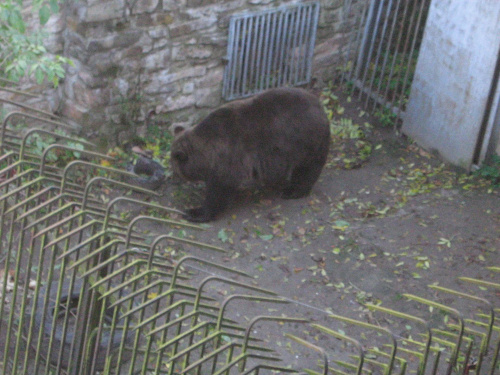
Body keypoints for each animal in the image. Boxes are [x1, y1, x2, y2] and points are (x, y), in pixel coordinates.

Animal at [170, 87, 330, 223]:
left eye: (175, 167)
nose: (174, 177)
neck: (207, 153)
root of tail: (321, 107)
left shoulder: (230, 156)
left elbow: (220, 189)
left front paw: (195, 212)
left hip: (304, 141)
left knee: (307, 169)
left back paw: (292, 191)